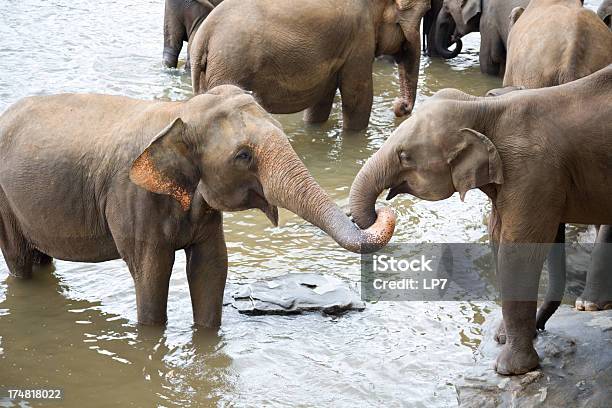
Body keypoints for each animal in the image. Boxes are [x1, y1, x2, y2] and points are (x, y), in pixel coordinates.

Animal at [0, 86, 396, 328]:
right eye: (243, 155)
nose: (382, 208)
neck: (180, 113)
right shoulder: (132, 199)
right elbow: (152, 274)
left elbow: (211, 267)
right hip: (3, 202)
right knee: (19, 259)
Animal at [189, 0, 432, 131]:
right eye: (426, 10)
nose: (400, 108)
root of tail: (204, 36)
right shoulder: (359, 37)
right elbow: (357, 98)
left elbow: (322, 100)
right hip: (229, 66)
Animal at [350, 64, 612, 376]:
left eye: (405, 156)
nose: (380, 212)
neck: (481, 107)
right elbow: (498, 237)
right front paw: (503, 338)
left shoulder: (532, 171)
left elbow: (517, 250)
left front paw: (509, 369)